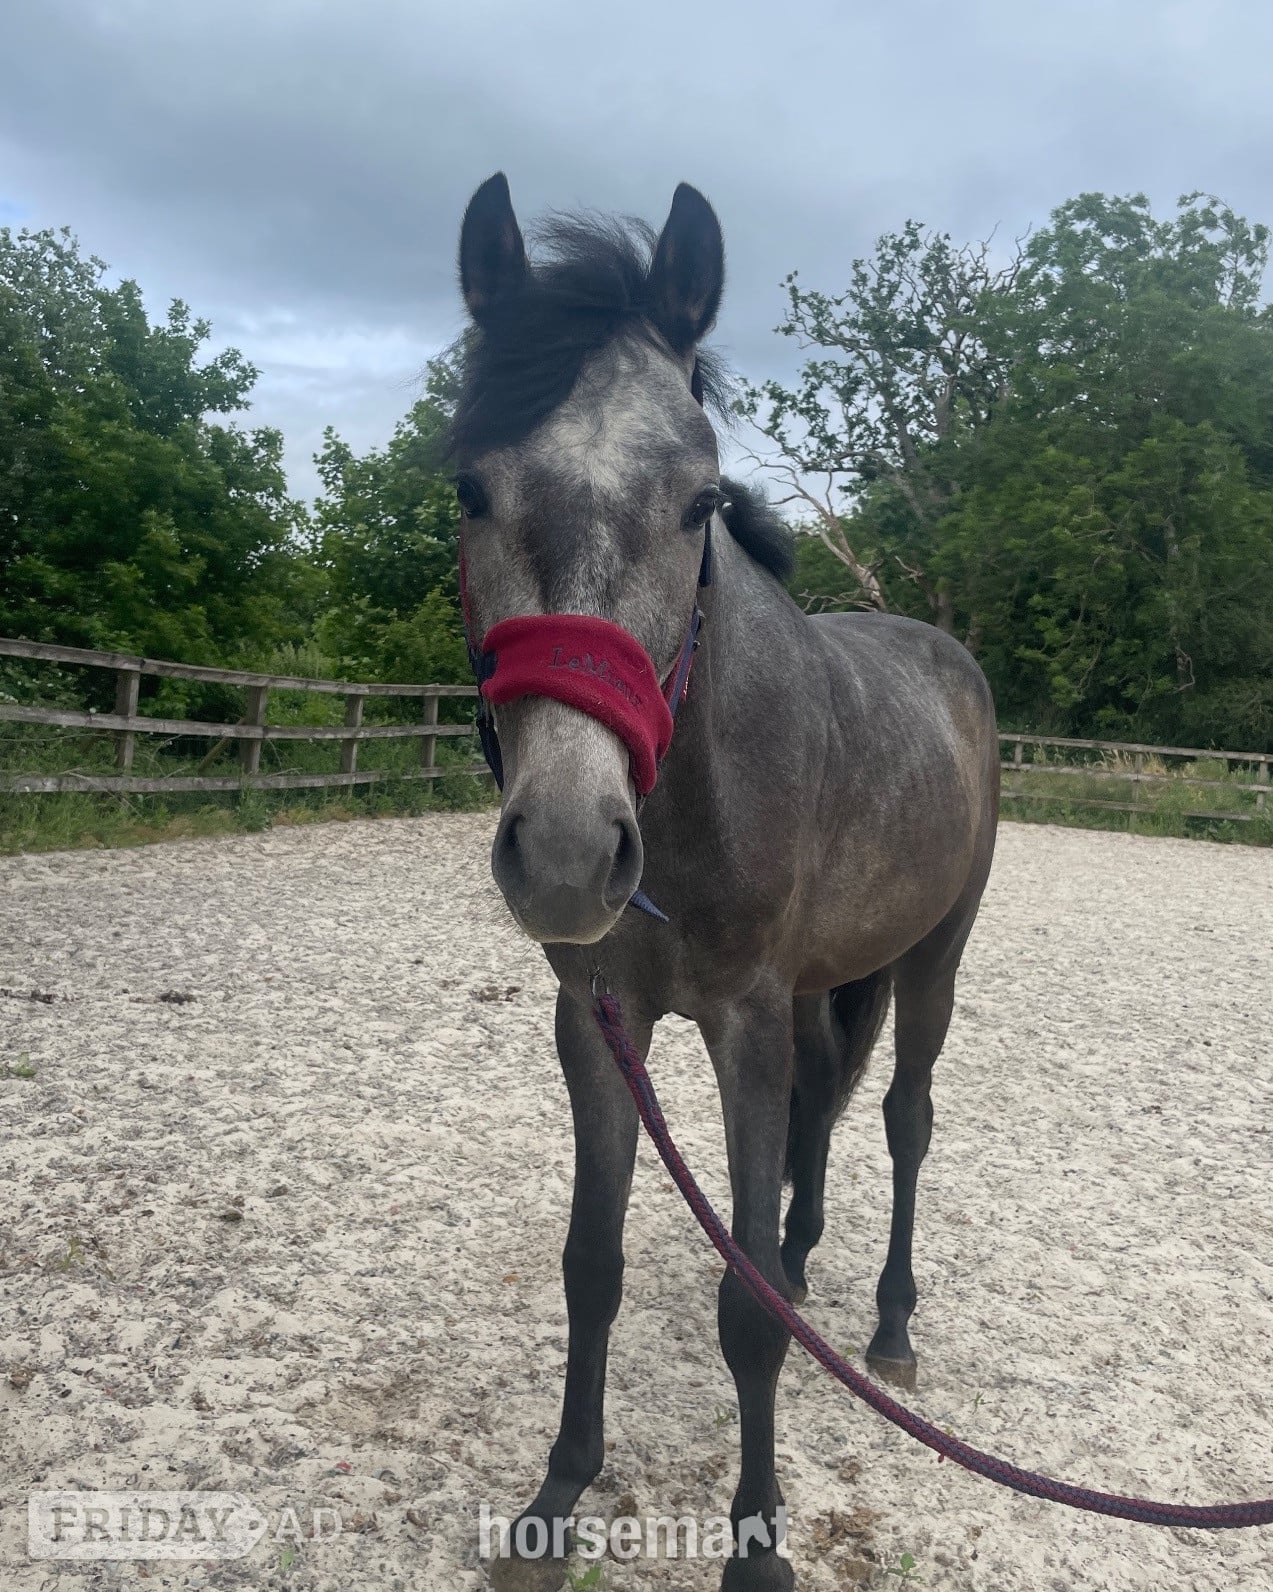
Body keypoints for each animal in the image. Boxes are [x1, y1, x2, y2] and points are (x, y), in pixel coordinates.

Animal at [450, 173, 1000, 1592]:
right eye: (469, 486)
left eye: (701, 500)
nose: (570, 850)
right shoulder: (599, 1019)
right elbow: (592, 1260)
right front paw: (557, 1493)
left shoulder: (743, 1019)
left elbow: (738, 1306)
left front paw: (757, 1545)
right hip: (824, 985)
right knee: (822, 1107)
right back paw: (807, 1262)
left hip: (933, 960)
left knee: (902, 1117)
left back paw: (888, 1324)